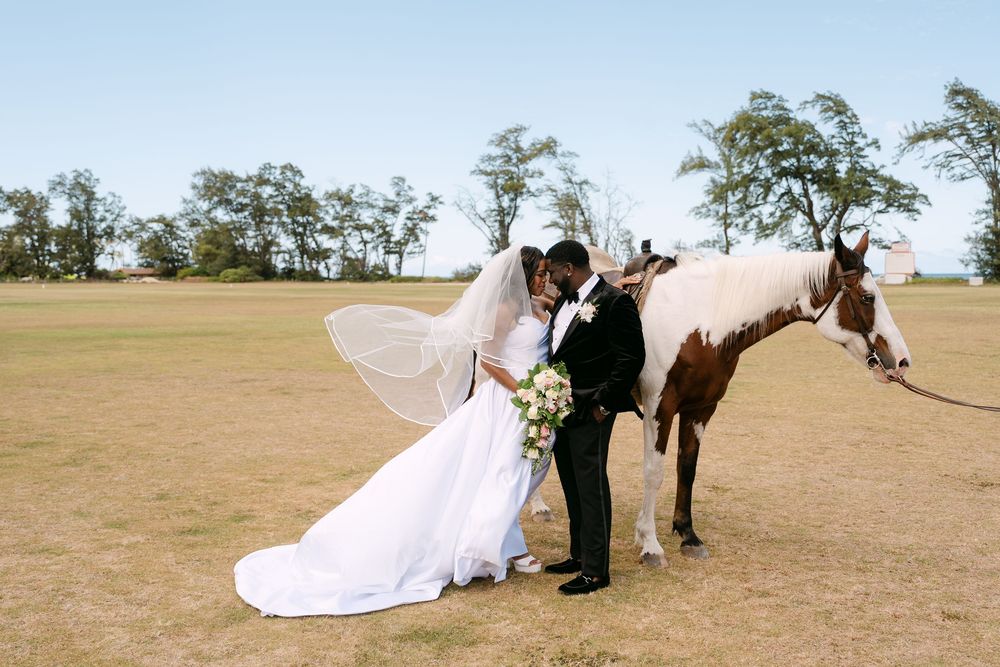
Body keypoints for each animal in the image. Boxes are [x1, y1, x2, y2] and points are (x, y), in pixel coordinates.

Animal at [633, 231, 911, 566]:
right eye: (868, 298)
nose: (902, 361)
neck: (698, 316)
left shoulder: (701, 408)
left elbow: (686, 467)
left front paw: (688, 535)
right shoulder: (659, 406)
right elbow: (653, 471)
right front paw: (649, 543)